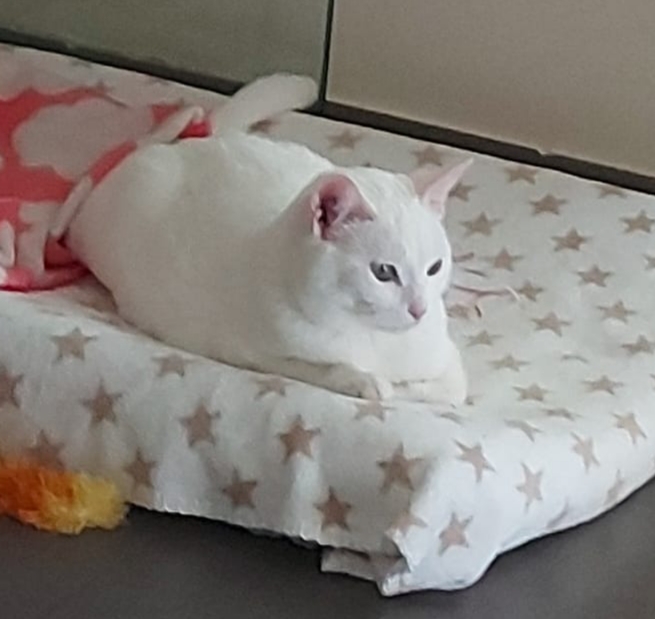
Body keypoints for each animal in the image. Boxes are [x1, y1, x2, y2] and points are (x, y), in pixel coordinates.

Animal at [67, 74, 471, 404]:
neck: (377, 340)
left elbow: (448, 388)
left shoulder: (446, 358)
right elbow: (326, 368)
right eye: (383, 272)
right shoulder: (258, 351)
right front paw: (365, 380)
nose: (419, 309)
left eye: (435, 267)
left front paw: (399, 385)